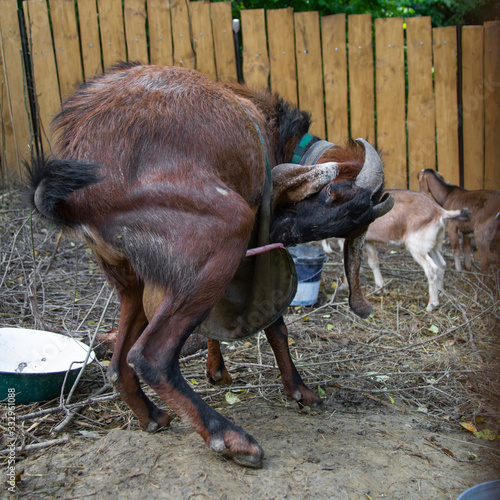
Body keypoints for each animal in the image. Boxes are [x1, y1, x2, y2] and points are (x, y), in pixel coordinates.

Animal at [27, 63, 394, 468]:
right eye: (331, 192)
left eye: (349, 227)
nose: (281, 231)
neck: (273, 130)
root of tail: (78, 195)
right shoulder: (252, 241)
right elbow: (274, 324)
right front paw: (298, 389)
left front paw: (217, 370)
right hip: (226, 232)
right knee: (150, 355)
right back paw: (231, 439)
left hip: (134, 277)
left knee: (119, 362)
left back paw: (152, 416)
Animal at [322, 189, 470, 310]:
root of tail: (440, 211)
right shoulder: (369, 241)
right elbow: (373, 262)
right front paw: (379, 288)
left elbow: (348, 263)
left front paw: (344, 287)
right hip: (431, 246)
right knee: (441, 264)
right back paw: (440, 292)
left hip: (416, 246)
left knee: (431, 268)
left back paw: (432, 304)